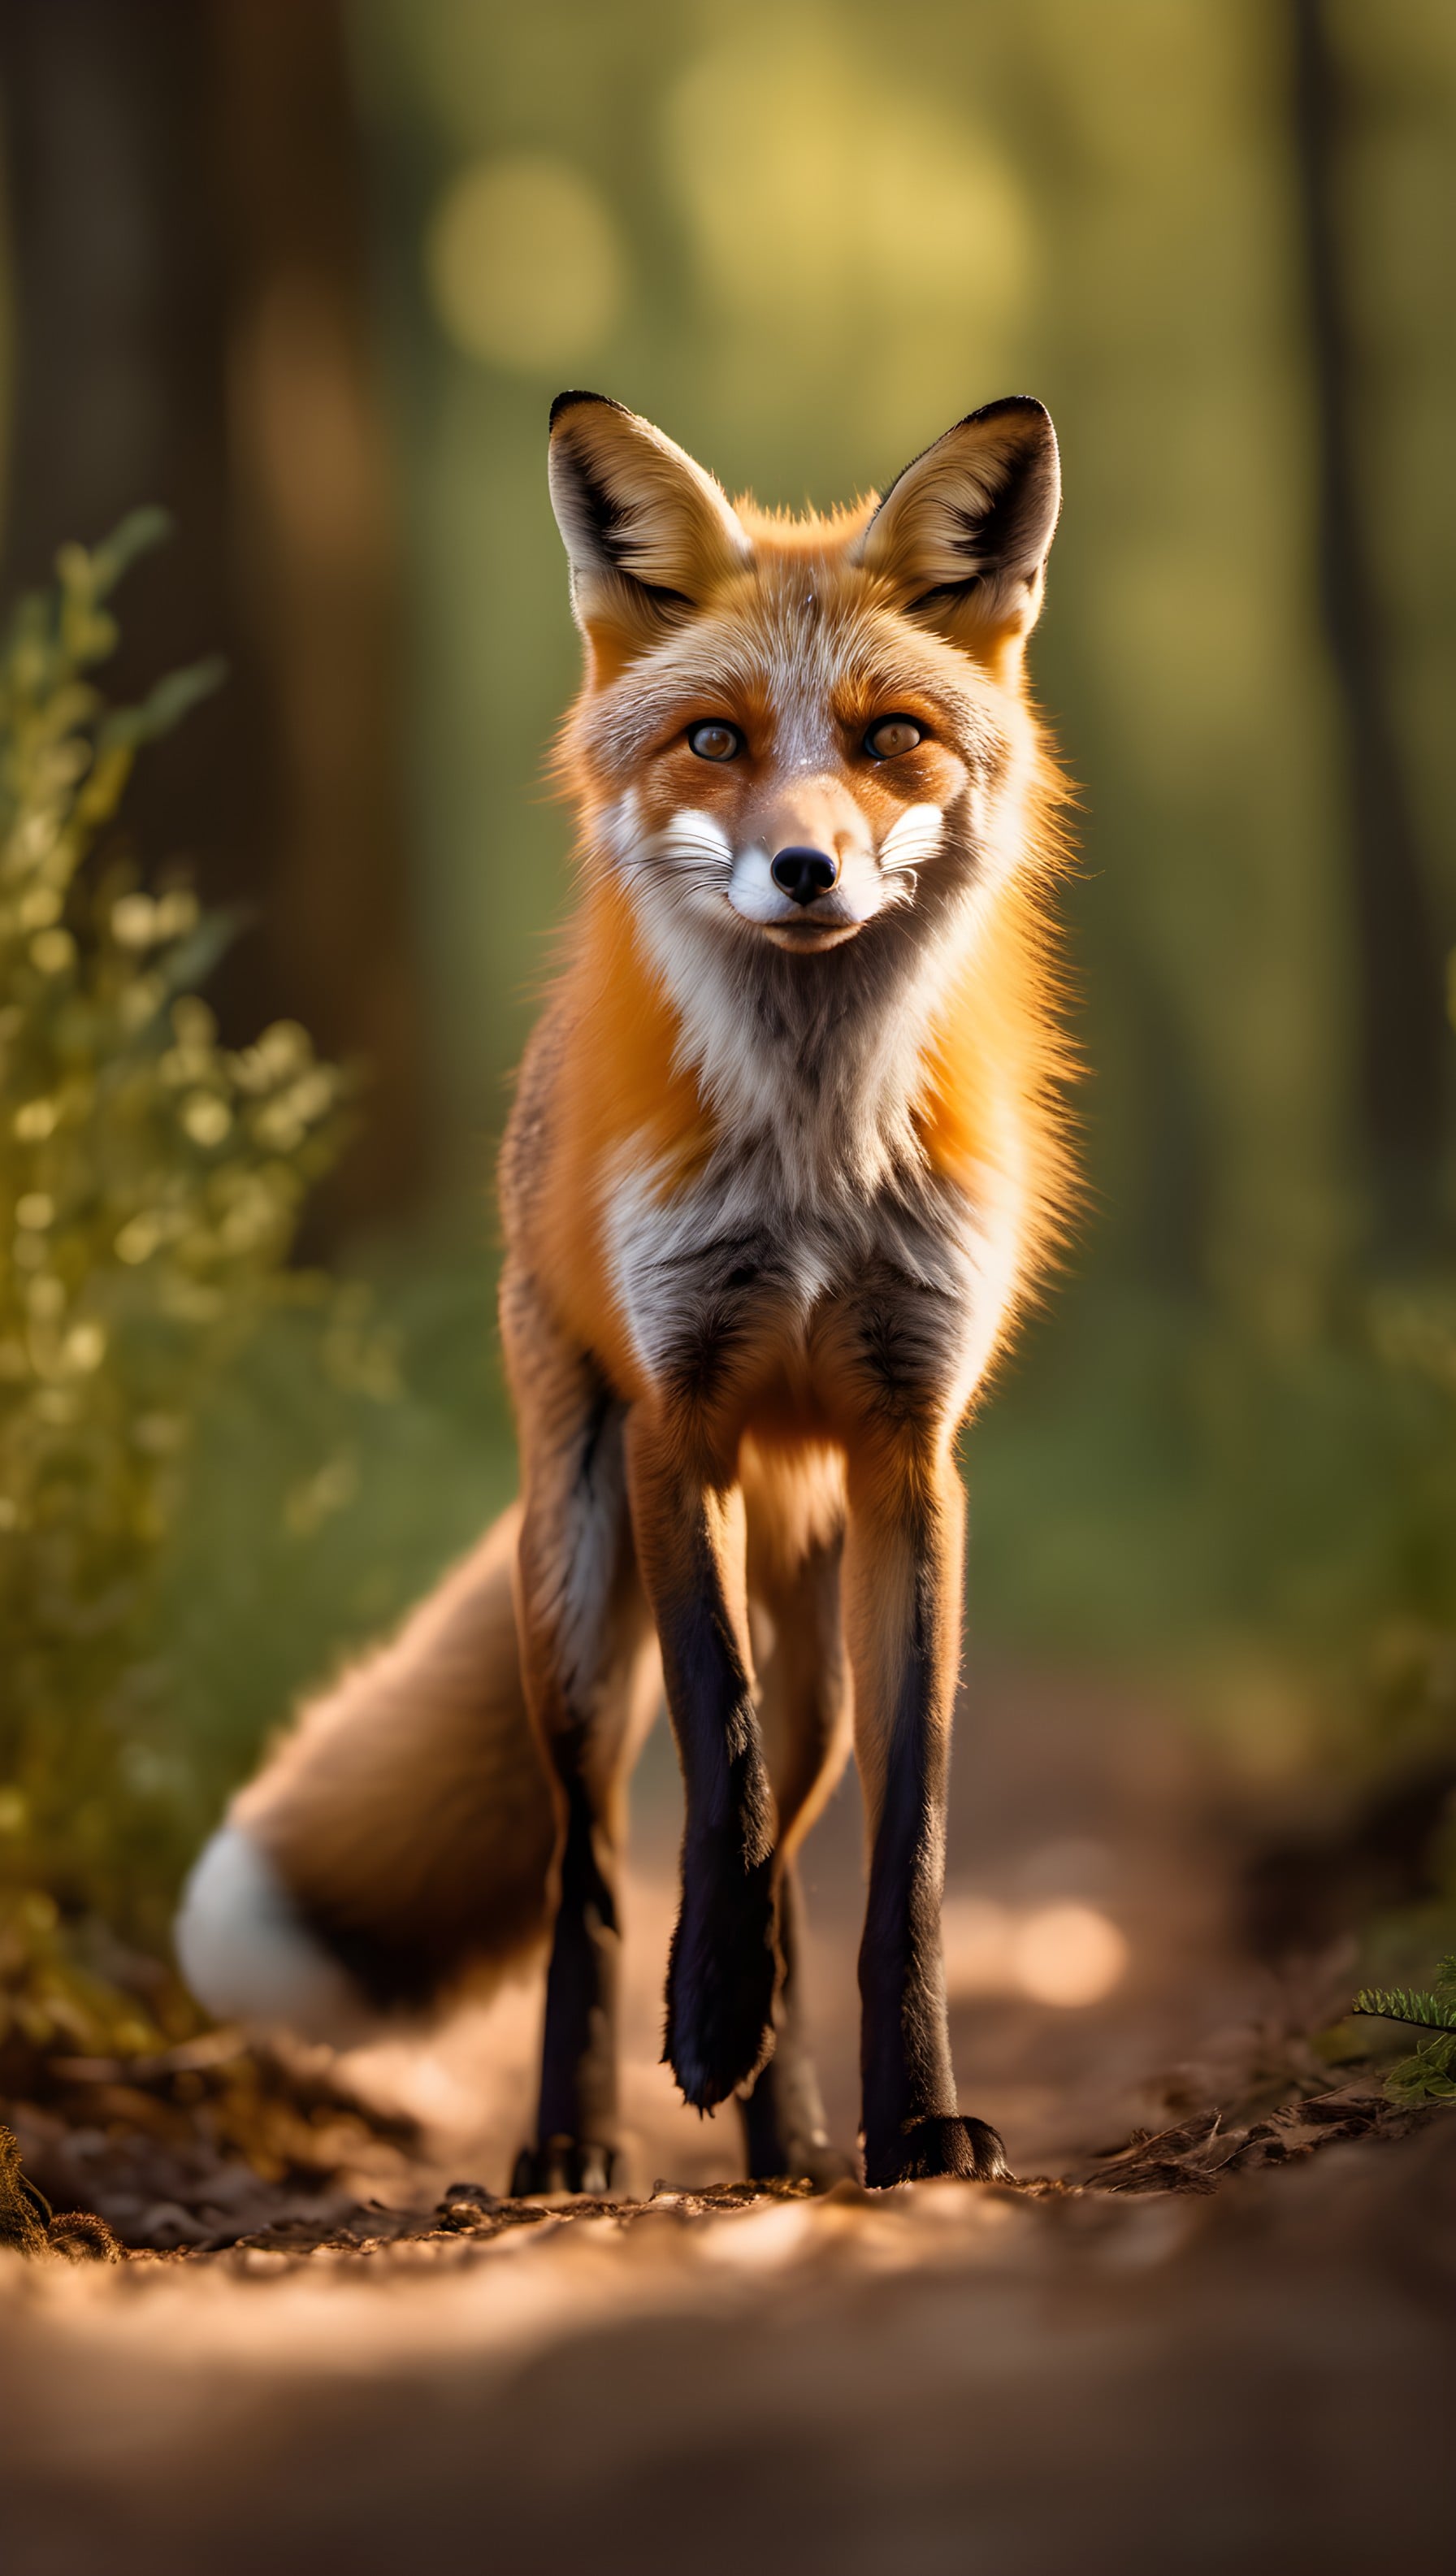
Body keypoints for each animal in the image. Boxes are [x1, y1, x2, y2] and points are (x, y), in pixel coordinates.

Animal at [177, 389, 1072, 2192]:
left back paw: (788, 2143)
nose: (802, 870)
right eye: (715, 742)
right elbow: (708, 1783)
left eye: (889, 737)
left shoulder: (912, 1457)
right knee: (589, 1869)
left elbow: (902, 1853)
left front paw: (912, 2116)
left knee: (795, 1828)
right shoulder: (683, 1421)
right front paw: (707, 2021)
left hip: (813, 1624)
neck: (810, 1165)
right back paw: (575, 2138)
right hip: (579, 1593)